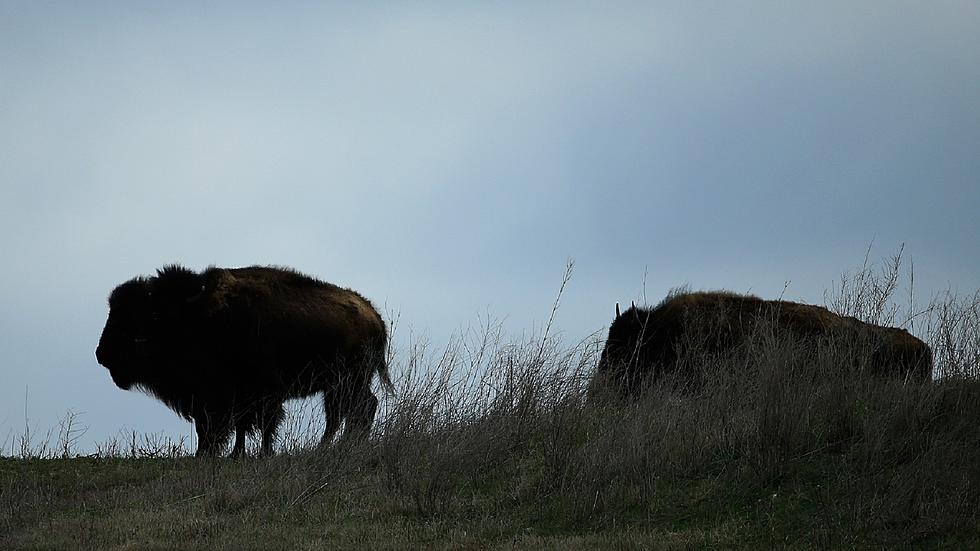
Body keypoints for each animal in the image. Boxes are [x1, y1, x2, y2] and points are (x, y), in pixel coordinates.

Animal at [94, 264, 392, 458]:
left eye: (143, 317)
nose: (101, 354)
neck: (196, 314)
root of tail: (373, 316)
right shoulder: (222, 397)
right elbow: (235, 426)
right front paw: (229, 454)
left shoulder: (255, 393)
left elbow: (261, 423)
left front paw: (262, 454)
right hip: (339, 385)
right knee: (353, 410)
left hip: (346, 382)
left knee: (352, 411)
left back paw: (334, 447)